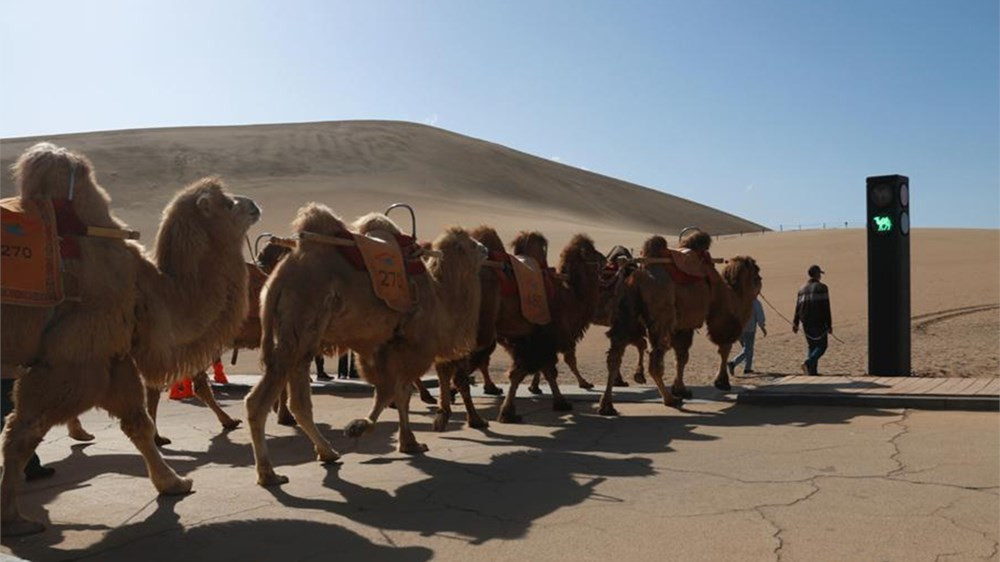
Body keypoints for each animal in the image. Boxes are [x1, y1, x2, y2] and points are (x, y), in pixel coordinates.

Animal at [1, 141, 260, 532]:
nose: (255, 205)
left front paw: (173, 482)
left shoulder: (113, 354)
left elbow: (138, 423)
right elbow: (20, 434)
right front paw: (14, 518)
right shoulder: (72, 360)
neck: (148, 288)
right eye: (229, 204)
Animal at [246, 203, 488, 484]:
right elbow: (396, 391)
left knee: (299, 398)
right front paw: (366, 429)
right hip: (301, 322)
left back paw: (327, 452)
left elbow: (394, 393)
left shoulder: (382, 345)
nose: (485, 248)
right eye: (468, 244)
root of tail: (277, 278)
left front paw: (402, 440)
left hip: (299, 333)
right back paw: (269, 474)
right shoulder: (411, 344)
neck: (439, 297)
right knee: (260, 400)